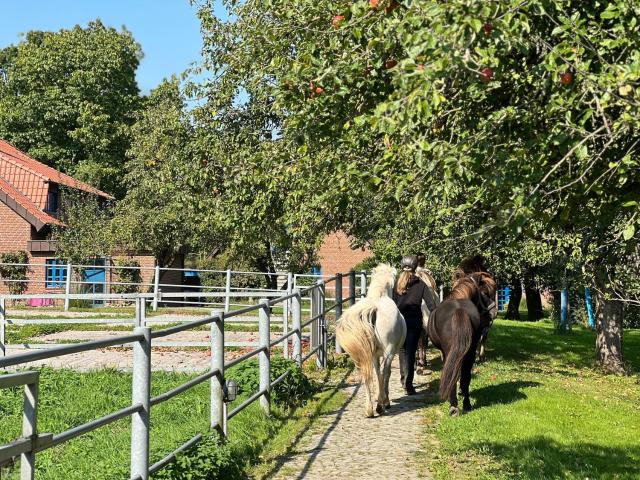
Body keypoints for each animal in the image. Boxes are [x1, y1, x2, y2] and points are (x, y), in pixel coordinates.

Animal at [336, 264, 404, 418]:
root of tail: (374, 307)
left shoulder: (374, 355)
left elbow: (377, 373)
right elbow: (385, 374)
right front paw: (385, 400)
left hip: (364, 353)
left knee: (366, 374)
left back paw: (369, 409)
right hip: (389, 352)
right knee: (385, 372)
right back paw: (380, 406)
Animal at [428, 268, 498, 414]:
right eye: (485, 293)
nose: (495, 313)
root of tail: (459, 310)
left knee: (454, 375)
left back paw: (454, 406)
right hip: (470, 351)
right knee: (465, 376)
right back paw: (466, 404)